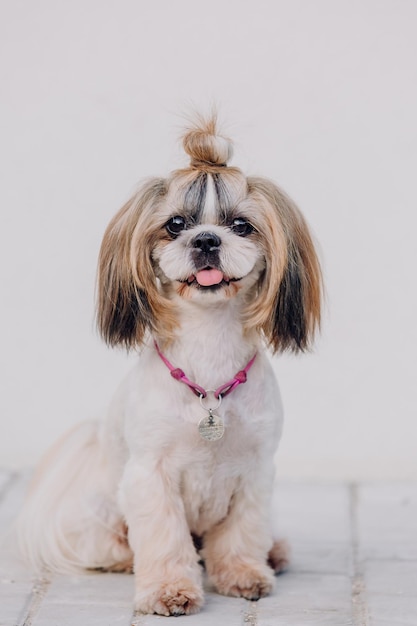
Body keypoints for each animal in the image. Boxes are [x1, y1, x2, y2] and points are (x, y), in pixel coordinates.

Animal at [18, 113, 322, 616]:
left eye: (242, 225)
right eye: (175, 223)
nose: (206, 239)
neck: (209, 345)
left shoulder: (255, 471)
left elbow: (242, 531)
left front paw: (243, 574)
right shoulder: (150, 476)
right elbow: (163, 538)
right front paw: (168, 590)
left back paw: (274, 553)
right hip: (104, 510)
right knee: (110, 545)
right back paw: (125, 561)